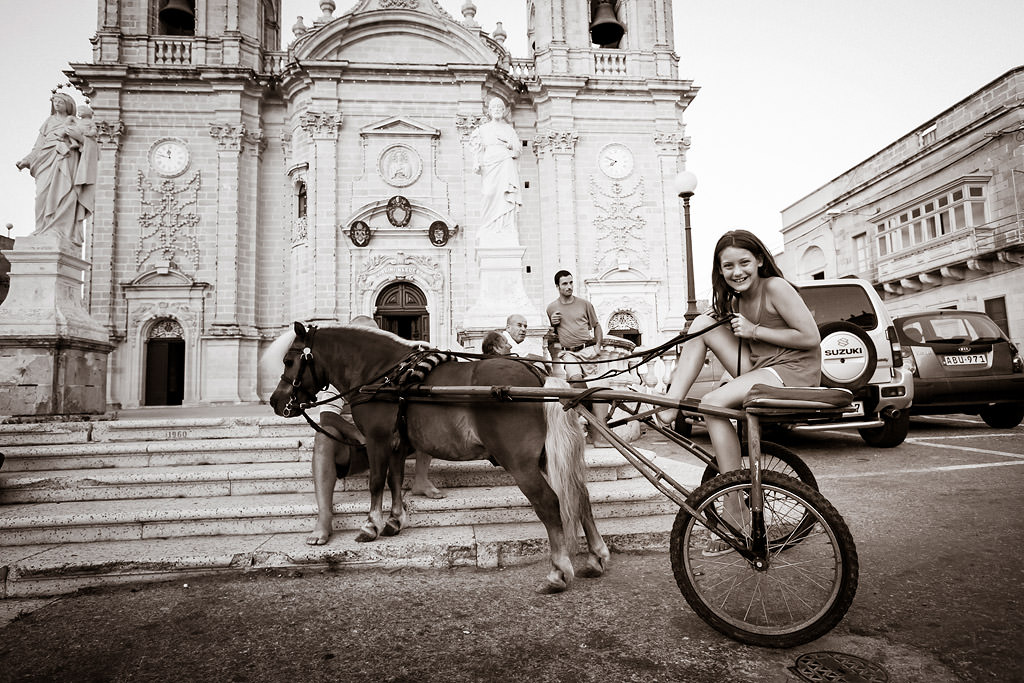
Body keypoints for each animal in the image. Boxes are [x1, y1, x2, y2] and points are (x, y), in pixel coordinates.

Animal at [264, 321, 606, 593]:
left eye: (289, 360)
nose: (275, 400)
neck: (385, 377)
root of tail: (538, 375)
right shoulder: (397, 444)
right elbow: (395, 480)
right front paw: (395, 520)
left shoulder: (377, 440)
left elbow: (376, 482)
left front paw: (371, 525)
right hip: (545, 458)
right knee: (580, 496)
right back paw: (596, 557)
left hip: (520, 463)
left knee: (549, 503)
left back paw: (559, 571)